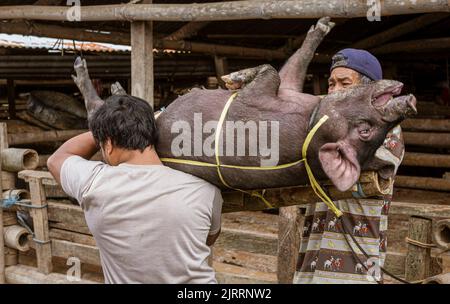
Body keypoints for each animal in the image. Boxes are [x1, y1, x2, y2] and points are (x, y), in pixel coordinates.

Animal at [72, 16, 416, 191]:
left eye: (366, 131)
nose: (411, 101)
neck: (311, 118)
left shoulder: (260, 100)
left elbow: (270, 70)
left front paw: (230, 79)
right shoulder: (289, 90)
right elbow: (284, 68)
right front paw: (325, 22)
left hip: (105, 121)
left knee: (95, 111)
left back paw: (84, 69)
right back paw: (114, 83)